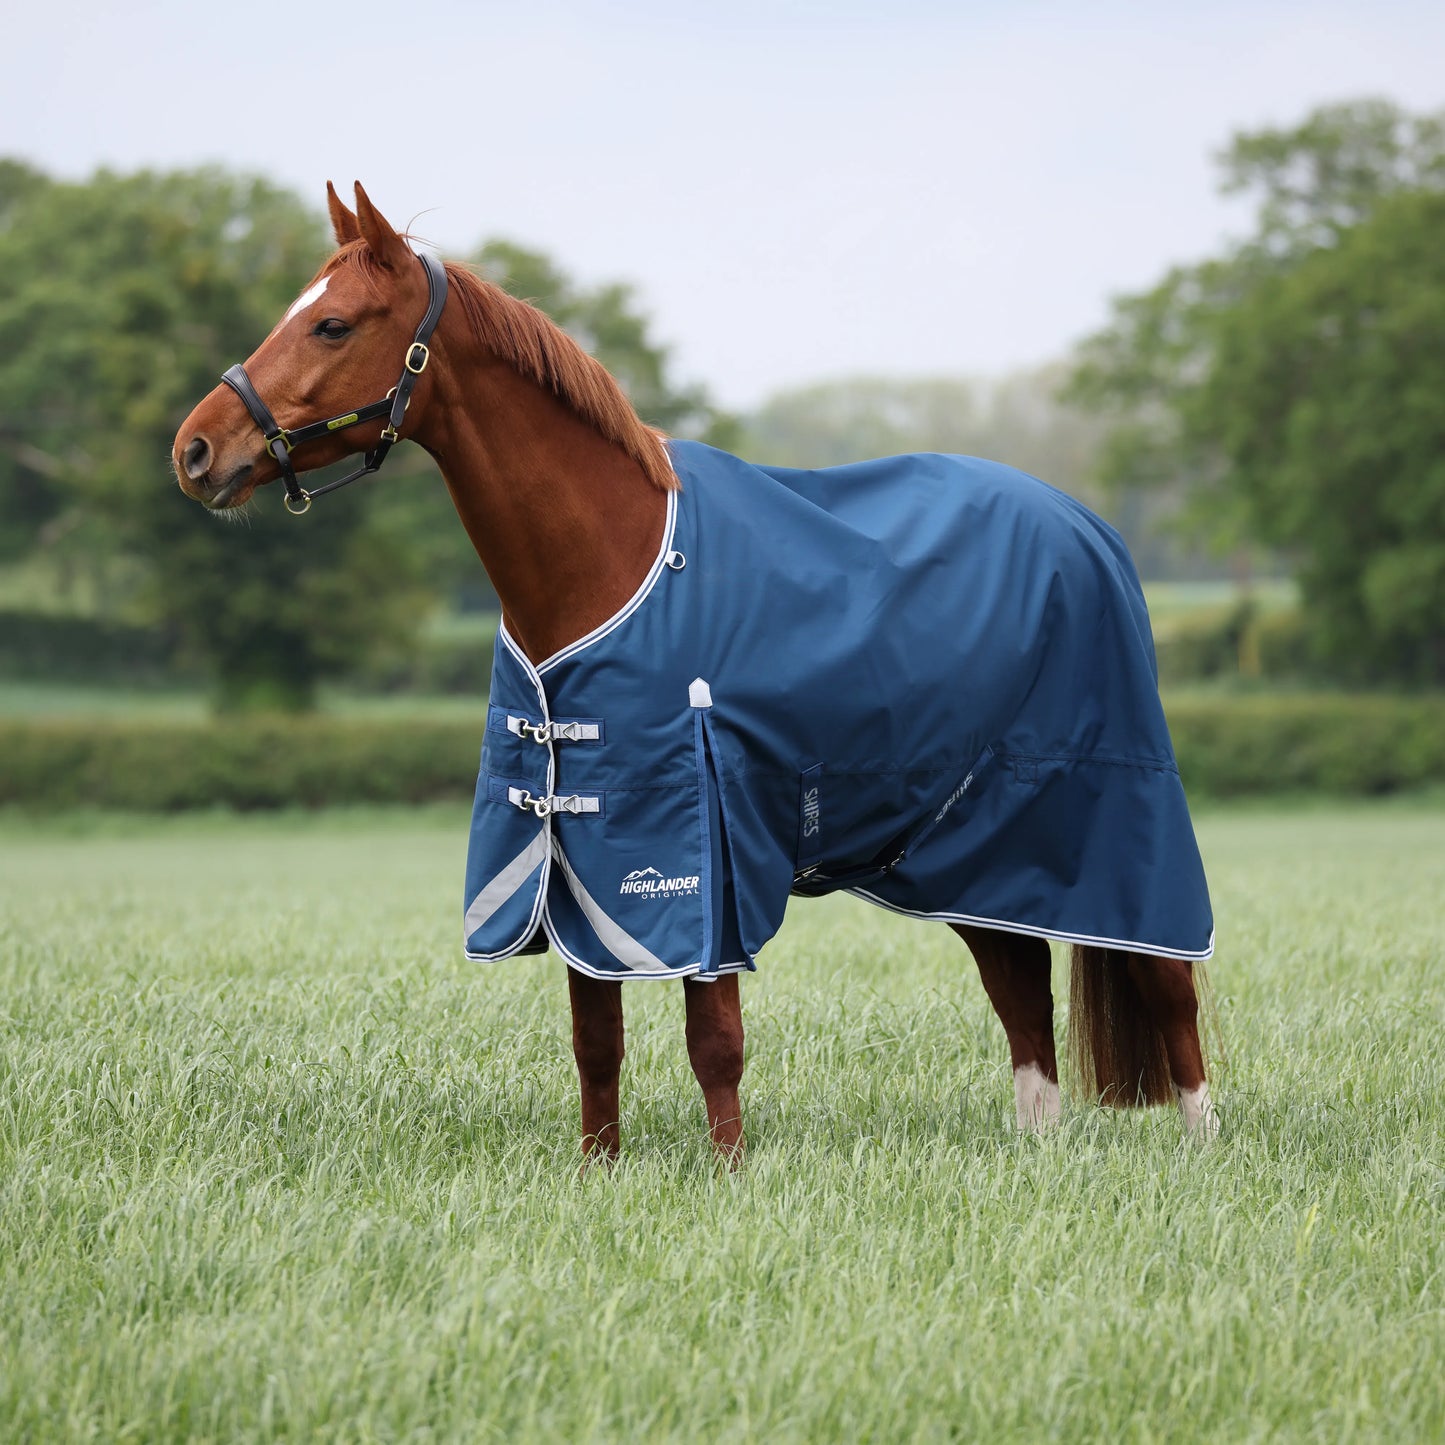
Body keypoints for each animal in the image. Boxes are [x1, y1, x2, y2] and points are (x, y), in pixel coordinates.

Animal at [173, 181, 1219, 1161]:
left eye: (332, 322)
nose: (195, 449)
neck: (613, 559)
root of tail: (1086, 526)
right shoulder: (573, 845)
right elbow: (595, 1037)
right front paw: (598, 1169)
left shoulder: (703, 840)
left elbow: (714, 1038)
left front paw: (729, 1172)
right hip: (974, 843)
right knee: (1020, 988)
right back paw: (1039, 1146)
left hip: (1108, 812)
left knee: (1165, 977)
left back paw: (1200, 1139)